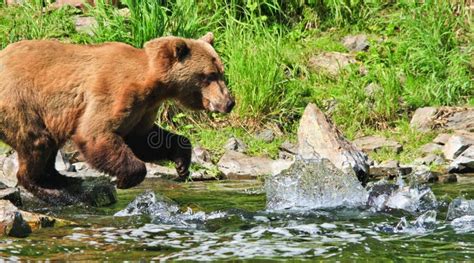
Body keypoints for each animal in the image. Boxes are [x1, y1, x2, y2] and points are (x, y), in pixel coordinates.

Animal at [0, 33, 235, 205]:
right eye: (210, 75)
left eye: (221, 71)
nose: (229, 102)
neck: (152, 84)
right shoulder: (114, 91)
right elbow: (95, 133)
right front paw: (124, 180)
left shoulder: (144, 108)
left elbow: (146, 139)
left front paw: (182, 164)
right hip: (22, 103)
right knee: (38, 142)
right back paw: (47, 189)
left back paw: (60, 179)